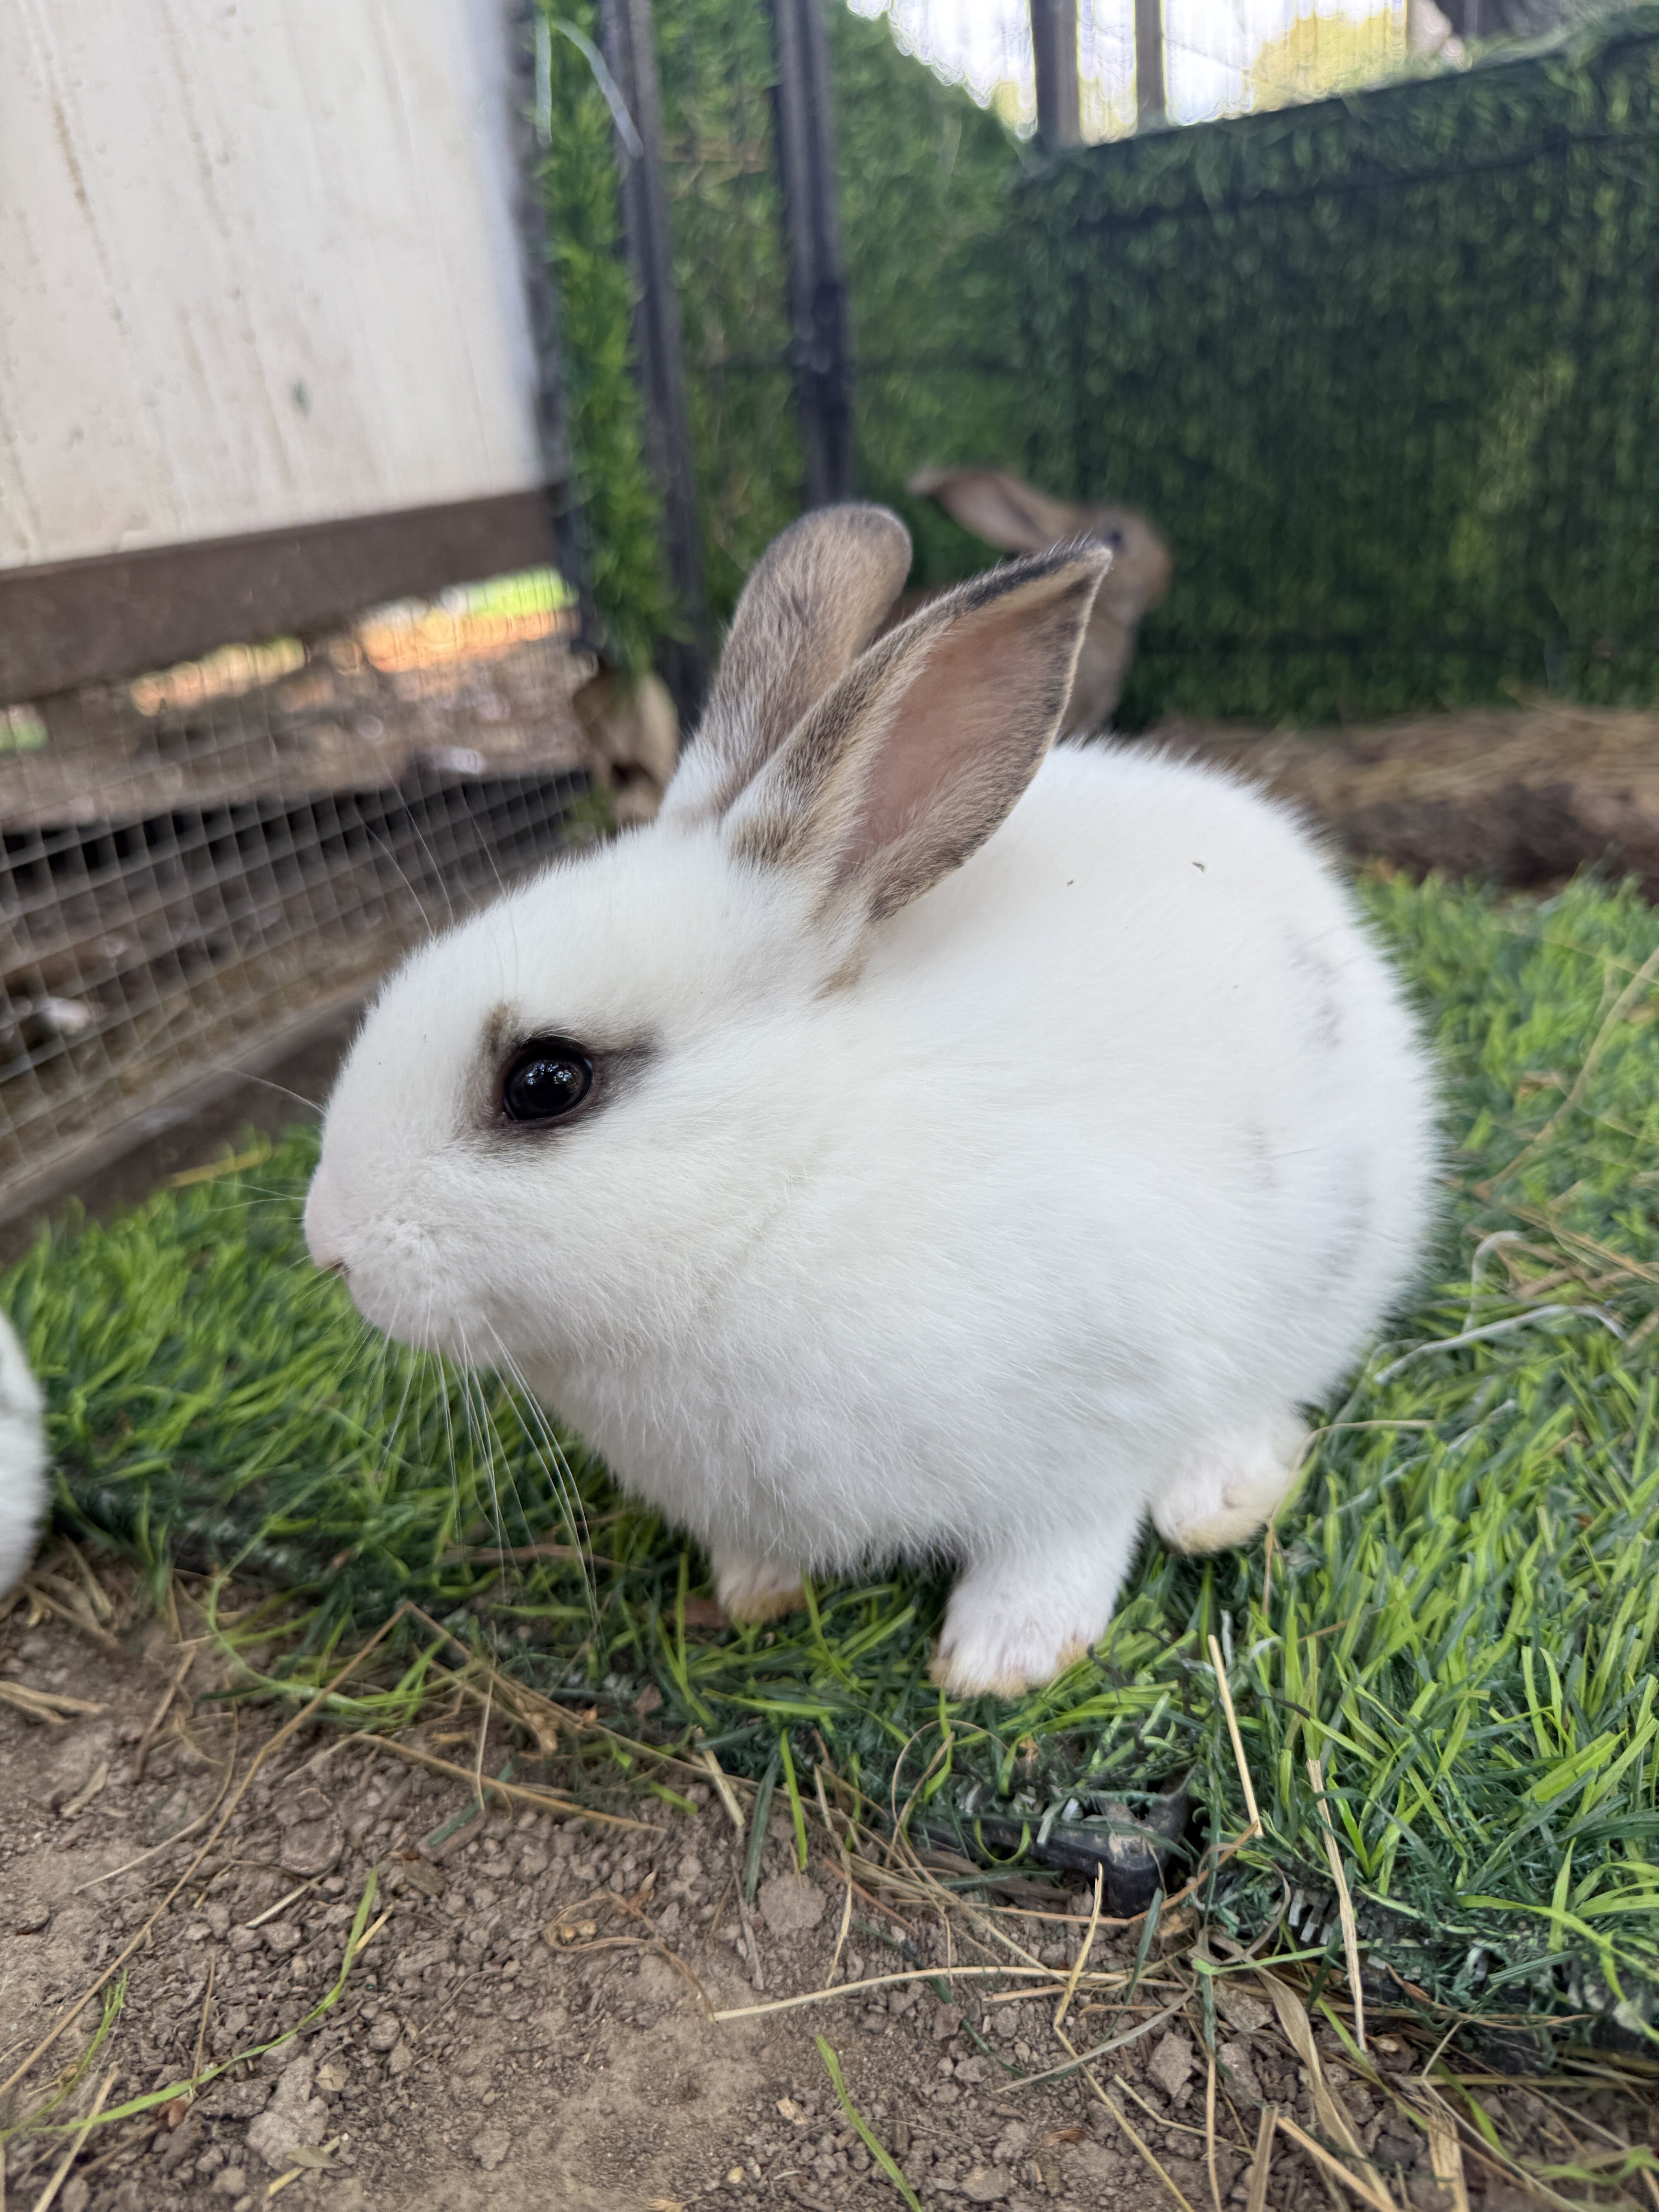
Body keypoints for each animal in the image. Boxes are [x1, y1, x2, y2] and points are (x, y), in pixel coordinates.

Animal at [305, 503, 1435, 1699]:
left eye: (547, 1081)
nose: (329, 1245)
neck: (782, 1189)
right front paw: (755, 1592)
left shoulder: (1090, 1437)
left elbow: (1063, 1546)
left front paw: (1001, 1659)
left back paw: (1221, 1497)